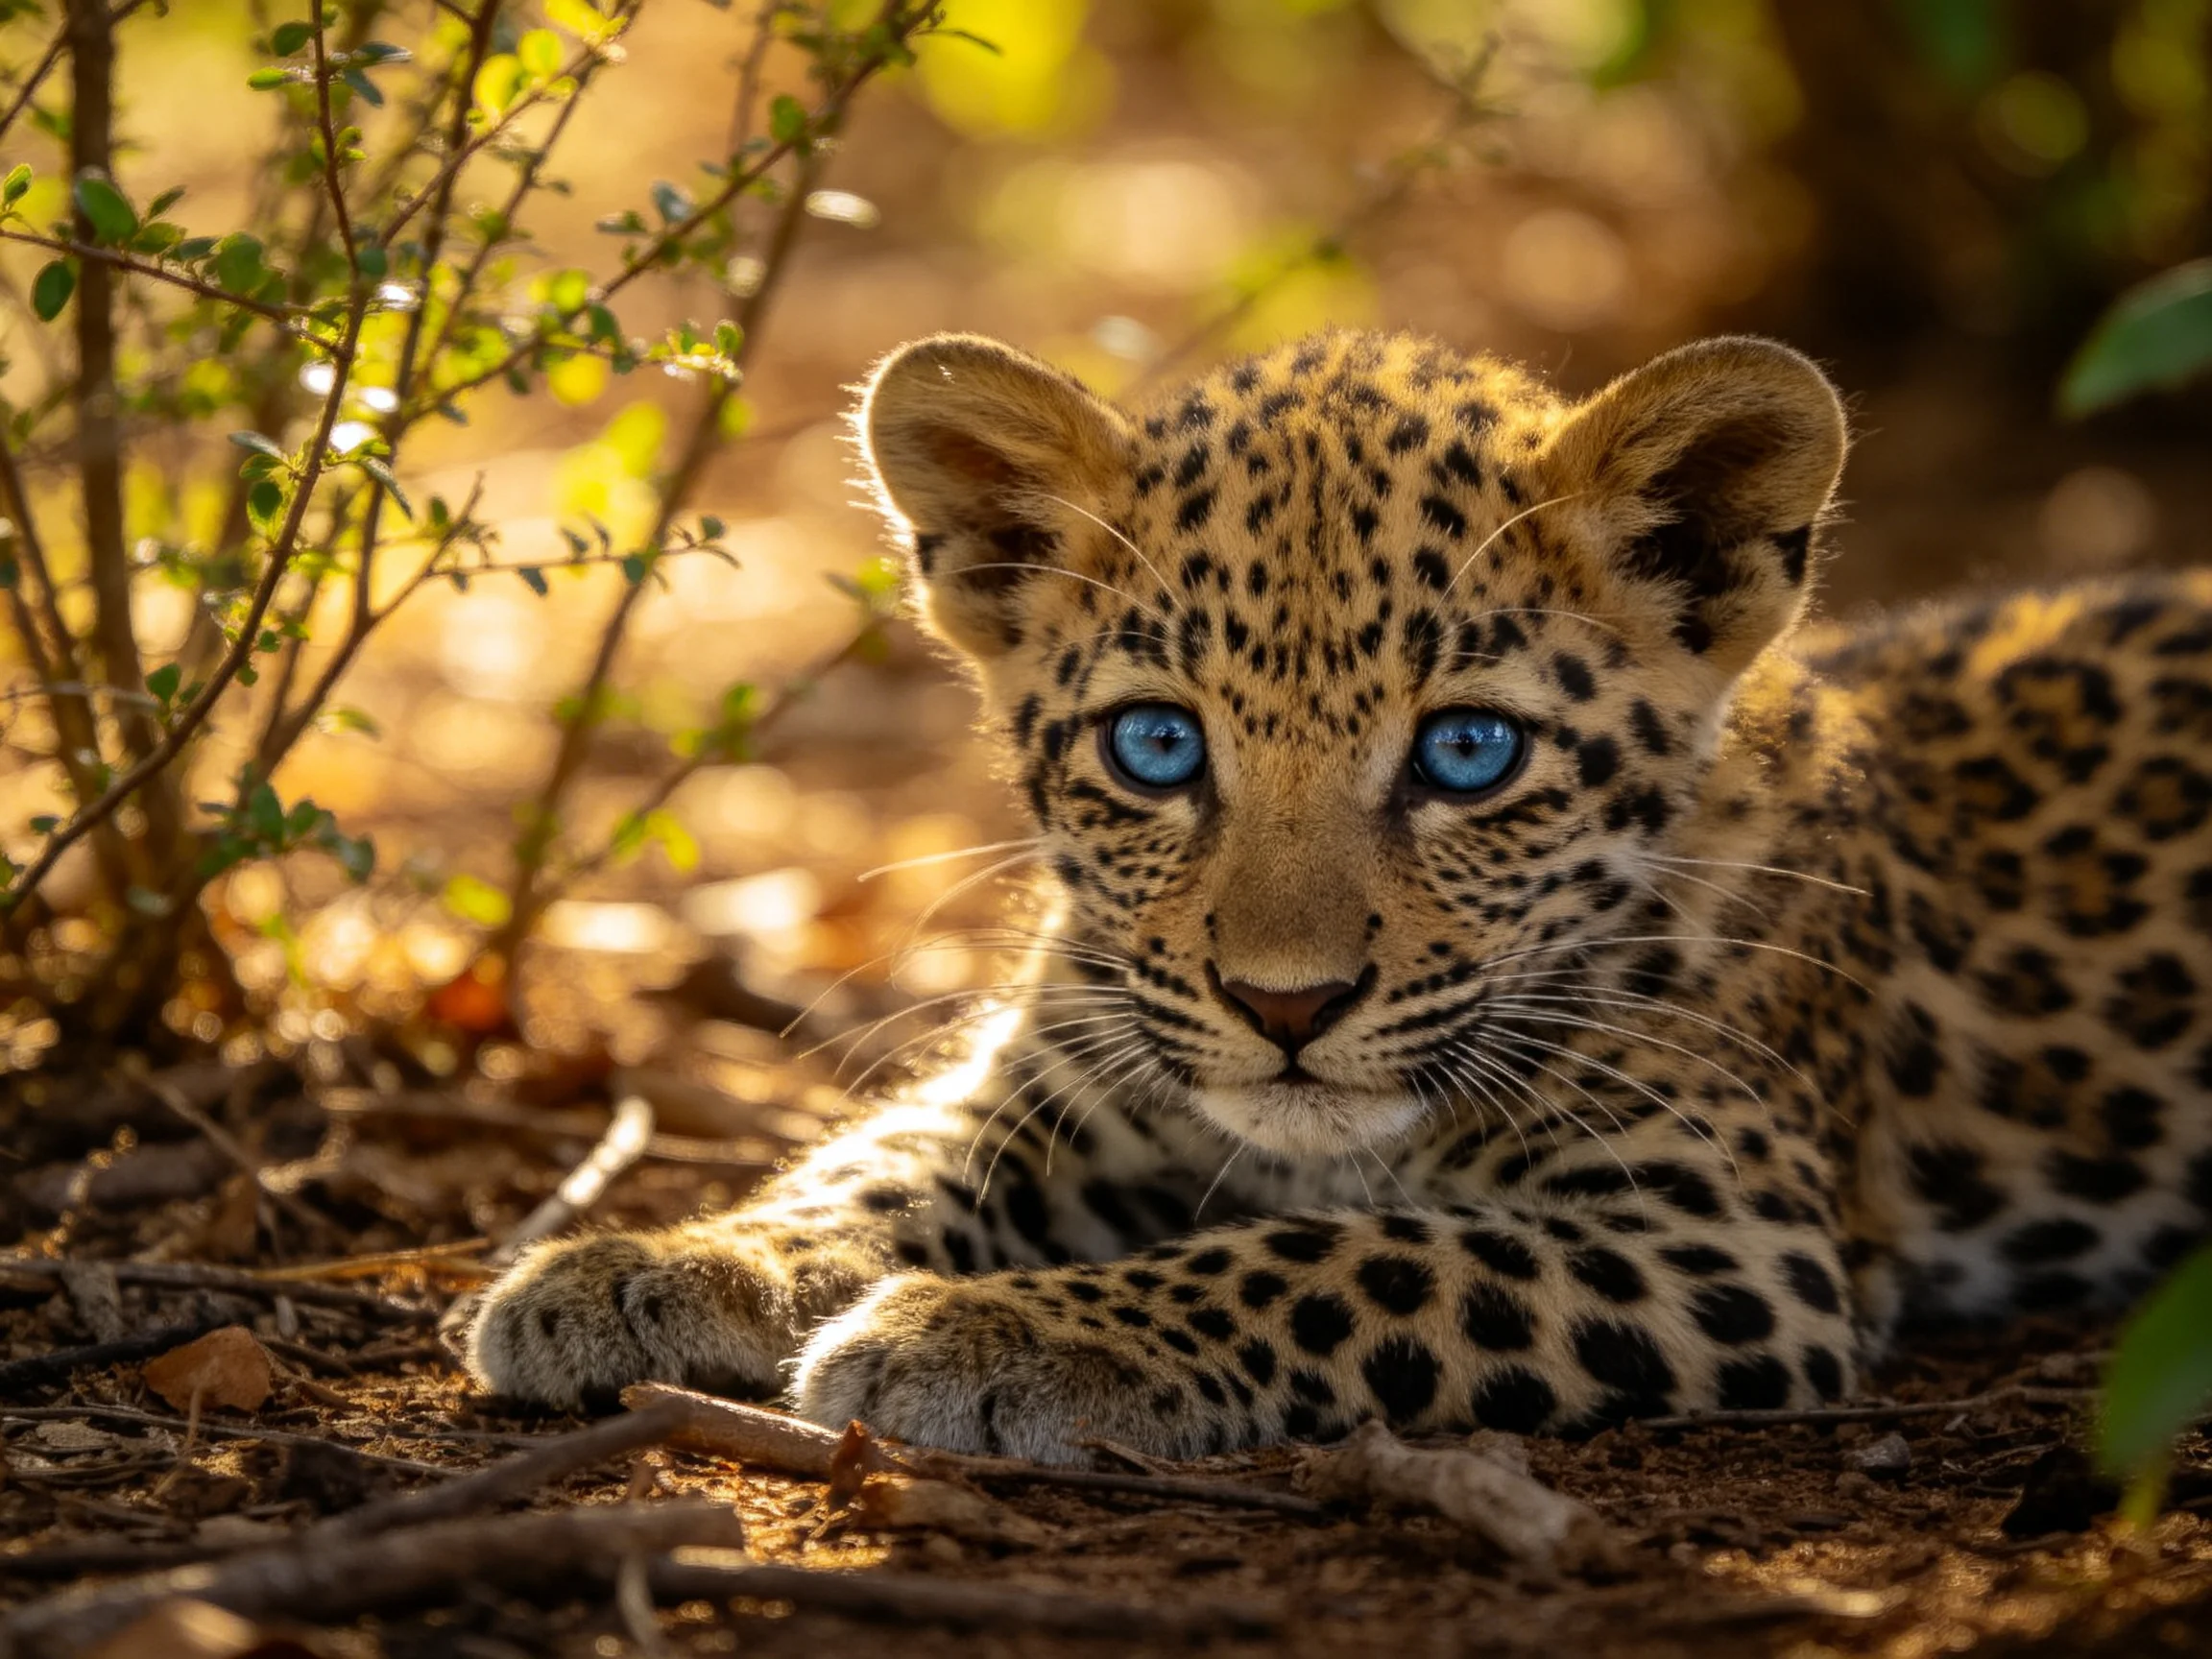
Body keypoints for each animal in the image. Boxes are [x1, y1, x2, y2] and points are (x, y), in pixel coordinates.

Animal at [466, 328, 2212, 1463]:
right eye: (1158, 744)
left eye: (1467, 752)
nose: (1284, 1006)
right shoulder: (1054, 1081)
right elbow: (873, 1162)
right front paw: (662, 1265)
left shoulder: (1719, 1235)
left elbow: (1343, 1256)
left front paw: (999, 1330)